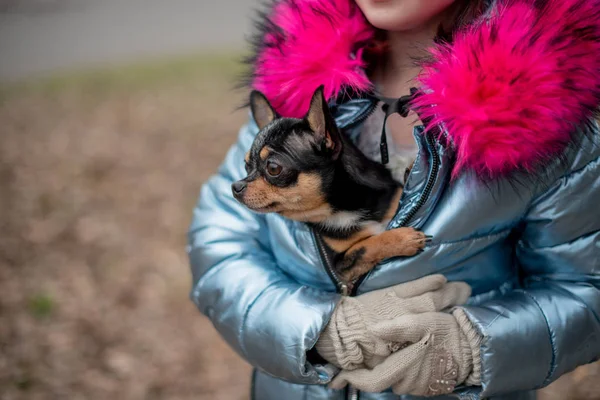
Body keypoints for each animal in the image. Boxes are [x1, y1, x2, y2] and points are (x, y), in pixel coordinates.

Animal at [232, 86, 428, 290]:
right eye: (246, 165)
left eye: (273, 168)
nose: (236, 186)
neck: (345, 206)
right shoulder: (341, 269)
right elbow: (366, 246)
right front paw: (403, 239)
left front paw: (410, 170)